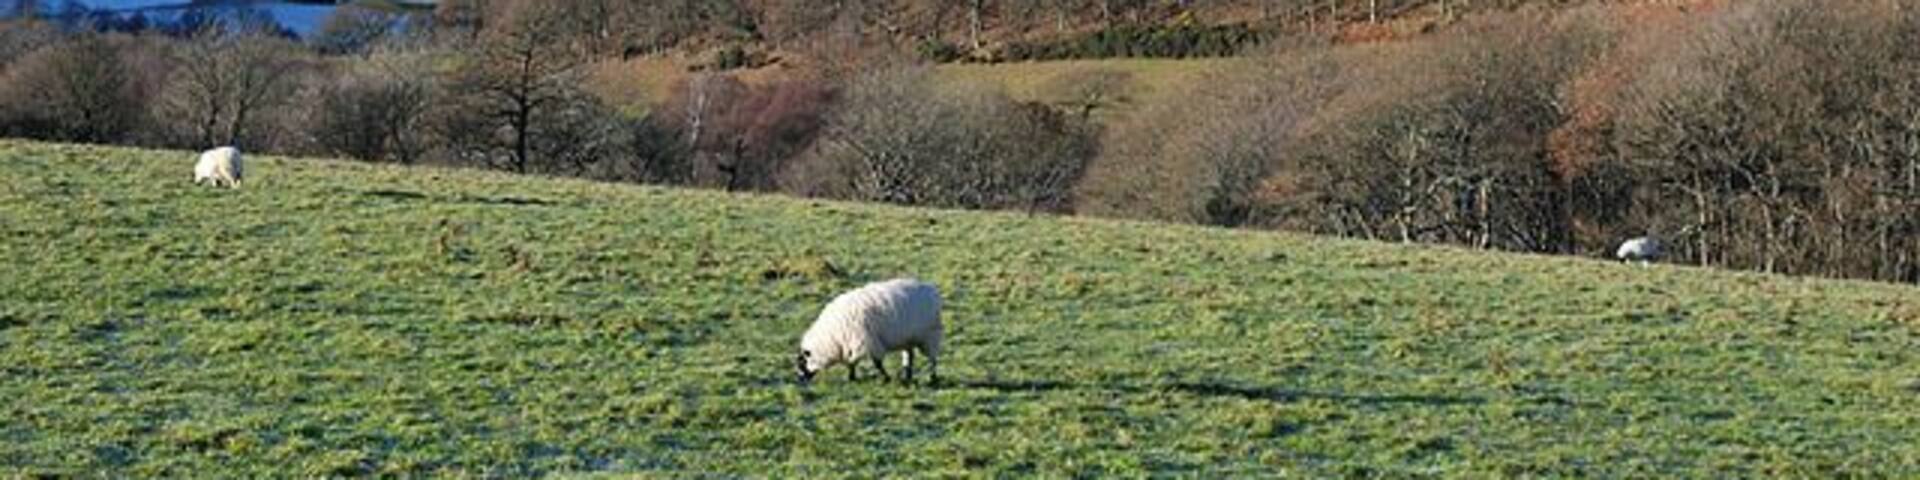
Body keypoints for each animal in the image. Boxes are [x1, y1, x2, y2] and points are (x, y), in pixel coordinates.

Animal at [796, 278, 943, 385]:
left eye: (802, 363)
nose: (800, 379)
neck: (832, 338)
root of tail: (931, 289)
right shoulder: (852, 344)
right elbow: (852, 362)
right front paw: (851, 377)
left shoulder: (867, 342)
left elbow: (877, 363)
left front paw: (886, 378)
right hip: (909, 338)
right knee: (909, 356)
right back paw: (907, 376)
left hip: (930, 334)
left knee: (933, 358)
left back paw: (933, 377)